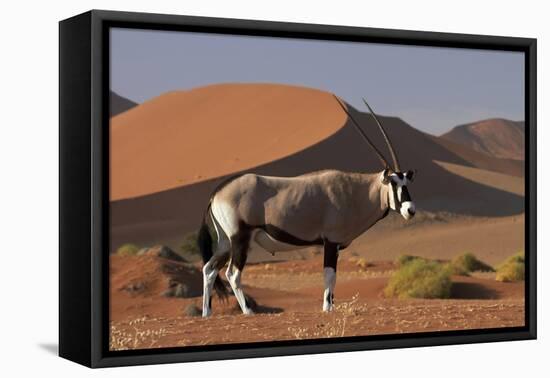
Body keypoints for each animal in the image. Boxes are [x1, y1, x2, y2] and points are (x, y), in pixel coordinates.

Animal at [199, 94, 418, 316]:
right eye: (393, 183)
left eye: (406, 183)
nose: (410, 210)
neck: (355, 191)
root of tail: (217, 193)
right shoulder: (331, 241)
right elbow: (329, 276)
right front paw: (327, 309)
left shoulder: (335, 245)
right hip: (240, 238)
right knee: (233, 273)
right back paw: (249, 311)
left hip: (226, 242)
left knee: (209, 269)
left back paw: (207, 313)